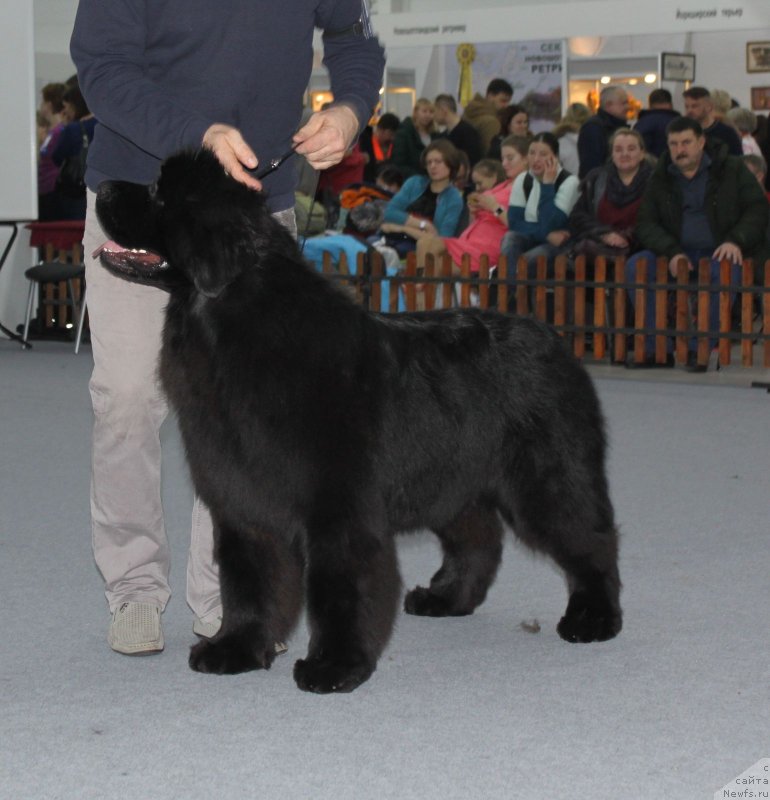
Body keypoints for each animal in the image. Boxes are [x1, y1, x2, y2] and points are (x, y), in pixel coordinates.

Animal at [96, 152, 620, 692]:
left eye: (159, 194)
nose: (104, 187)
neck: (232, 327)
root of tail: (555, 339)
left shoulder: (339, 506)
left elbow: (338, 586)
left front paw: (335, 666)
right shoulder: (242, 499)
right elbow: (248, 581)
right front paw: (236, 647)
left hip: (546, 480)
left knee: (590, 540)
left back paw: (593, 619)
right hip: (453, 479)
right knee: (479, 539)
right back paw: (446, 598)